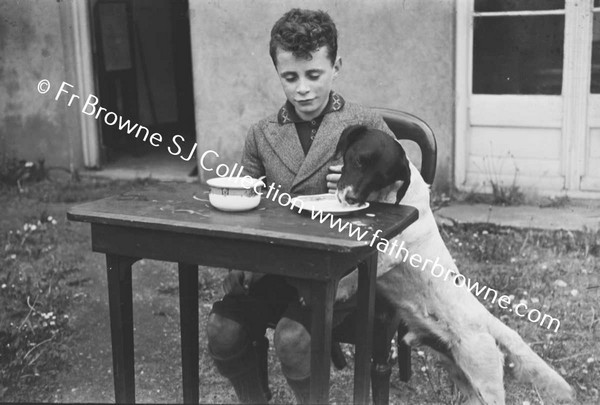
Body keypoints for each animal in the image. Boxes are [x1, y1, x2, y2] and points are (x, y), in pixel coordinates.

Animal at [332, 124, 572, 402]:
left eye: (381, 177)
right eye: (359, 160)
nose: (350, 199)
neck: (395, 197)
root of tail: (486, 320)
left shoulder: (388, 253)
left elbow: (349, 276)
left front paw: (337, 291)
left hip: (483, 374)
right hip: (458, 370)